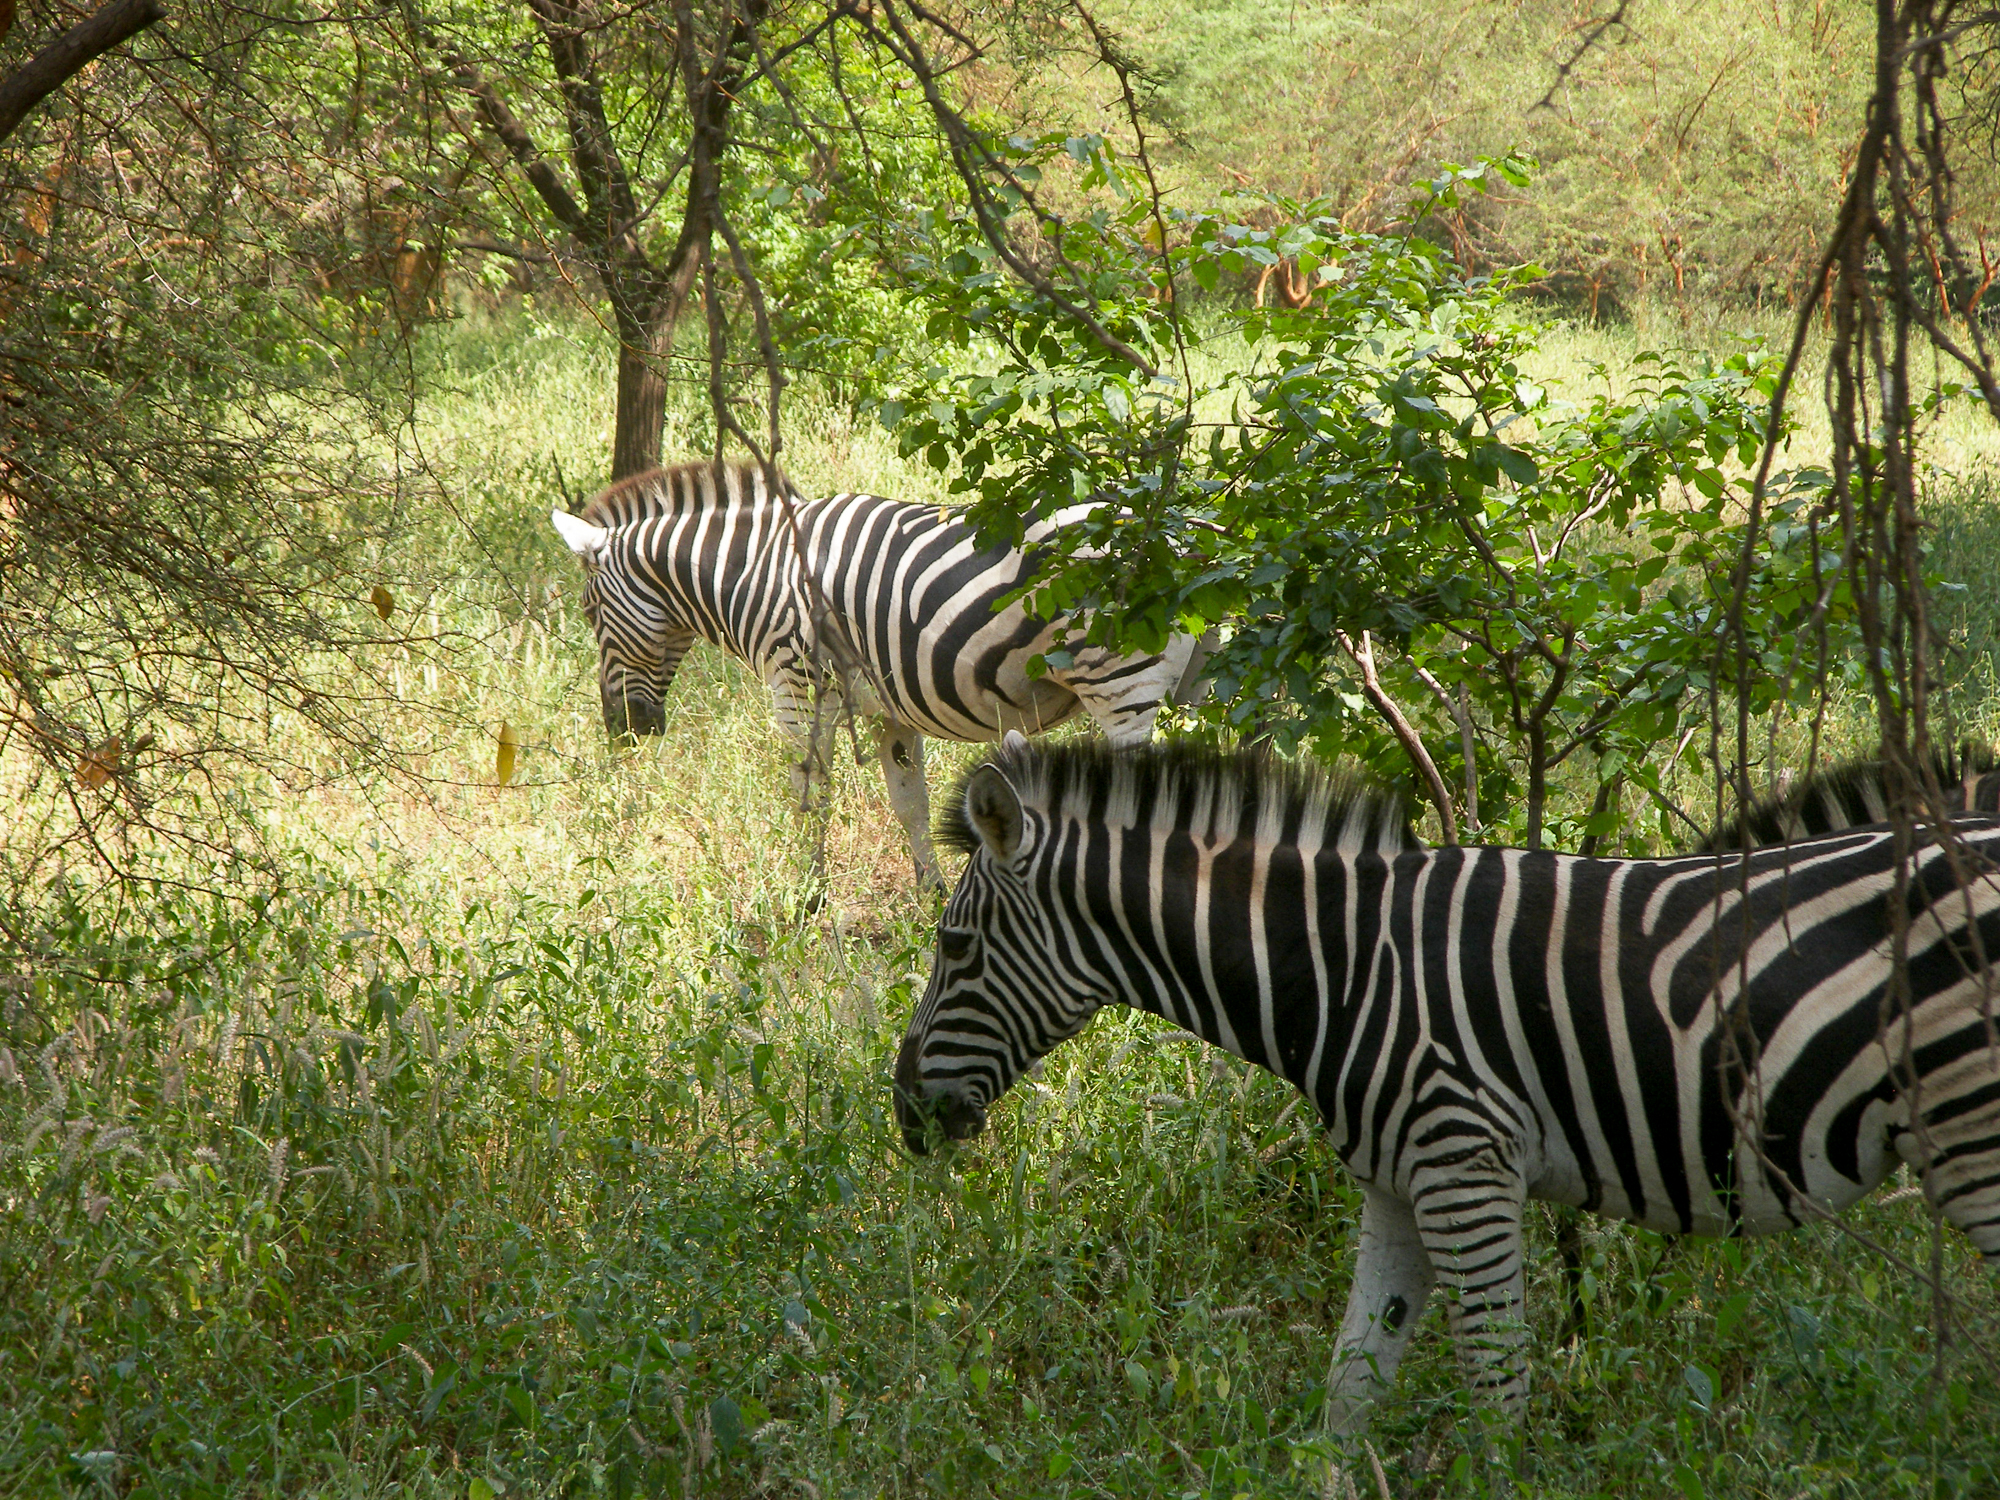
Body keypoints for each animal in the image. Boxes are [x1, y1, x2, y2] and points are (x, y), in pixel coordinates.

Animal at [548, 461, 1208, 885]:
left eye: (588, 612)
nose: (623, 731)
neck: (756, 573)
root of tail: (1184, 530)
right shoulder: (891, 711)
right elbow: (911, 805)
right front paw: (931, 895)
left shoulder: (799, 690)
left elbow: (810, 799)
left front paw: (806, 902)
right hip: (1201, 680)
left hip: (1122, 684)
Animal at [892, 734, 2000, 1428]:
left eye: (951, 946)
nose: (904, 1115)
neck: (1341, 967)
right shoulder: (1397, 1181)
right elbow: (1348, 1394)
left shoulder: (1463, 1166)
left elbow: (1494, 1394)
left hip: (1970, 1128)